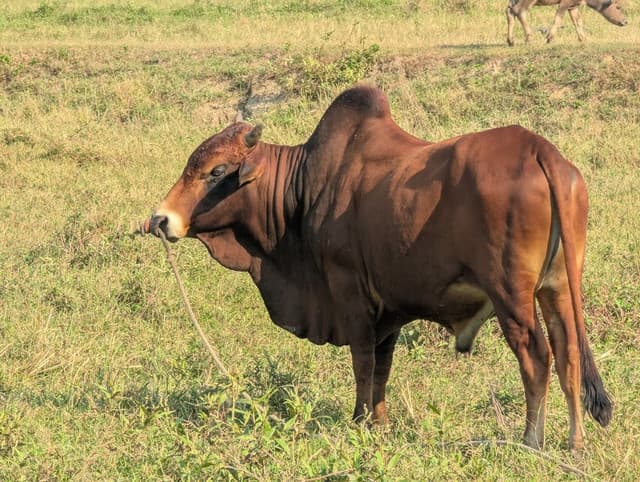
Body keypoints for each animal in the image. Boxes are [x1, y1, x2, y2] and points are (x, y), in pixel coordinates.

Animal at [142, 86, 611, 451]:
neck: (302, 187)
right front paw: (379, 423)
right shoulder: (388, 308)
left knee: (536, 357)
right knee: (569, 354)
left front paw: (358, 422)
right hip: (558, 288)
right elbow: (382, 367)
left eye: (216, 171)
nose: (161, 219)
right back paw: (575, 442)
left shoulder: (350, 294)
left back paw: (532, 440)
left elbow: (363, 363)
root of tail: (540, 150)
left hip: (511, 295)